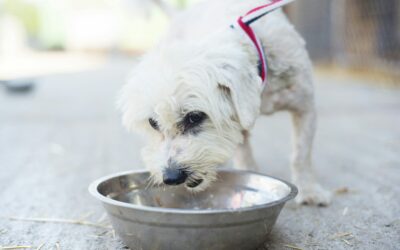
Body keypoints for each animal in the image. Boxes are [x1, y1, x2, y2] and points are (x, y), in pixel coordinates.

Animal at [117, 0, 330, 205]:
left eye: (195, 117)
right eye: (153, 123)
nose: (171, 177)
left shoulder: (305, 107)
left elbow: (301, 155)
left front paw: (309, 191)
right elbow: (244, 155)